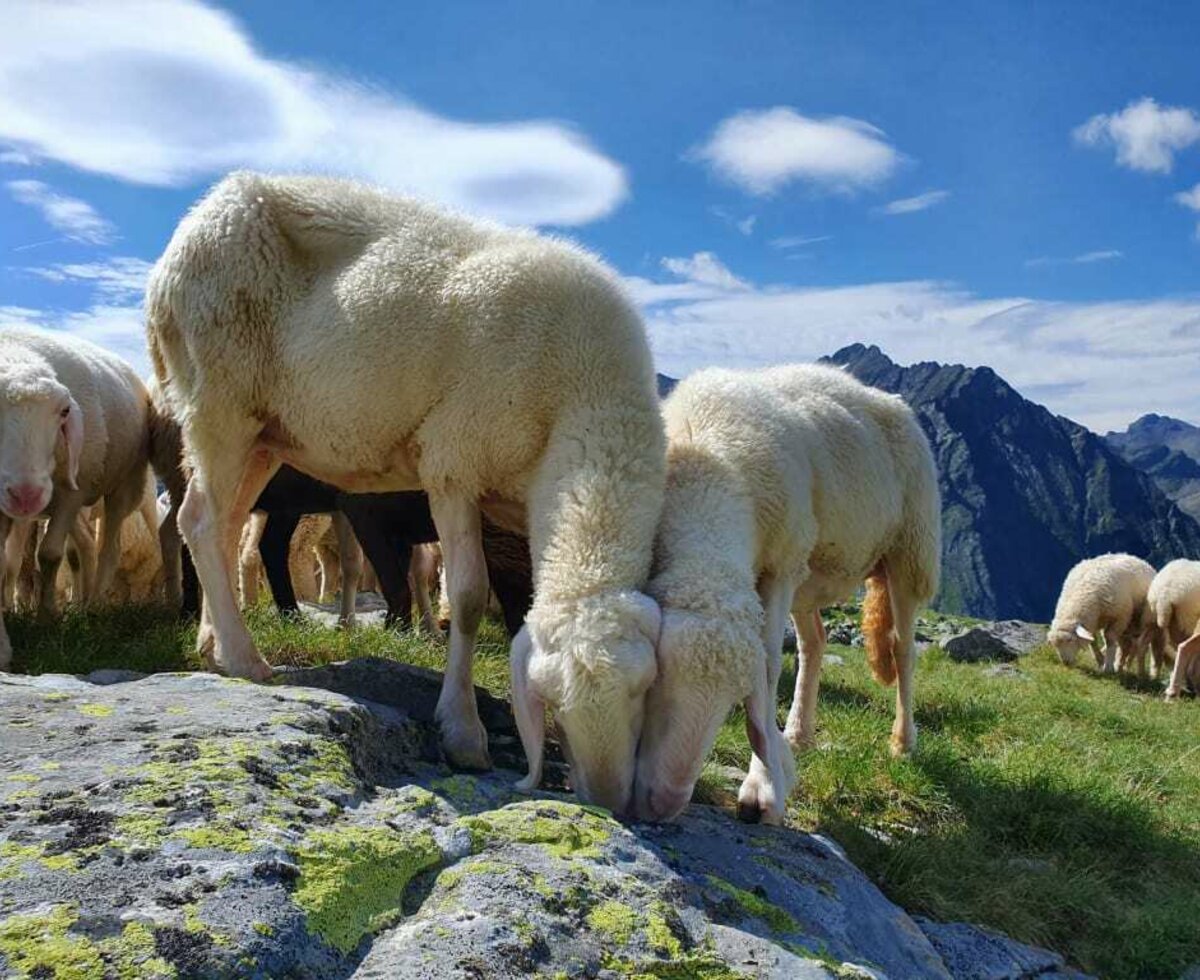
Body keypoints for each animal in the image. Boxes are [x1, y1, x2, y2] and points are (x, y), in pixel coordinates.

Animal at [0, 328, 154, 666]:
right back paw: (80, 604)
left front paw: (46, 619)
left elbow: (49, 554)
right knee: (83, 545)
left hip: (122, 484)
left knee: (109, 549)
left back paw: (93, 608)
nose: (26, 495)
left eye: (64, 411)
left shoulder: (73, 492)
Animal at [147, 170, 667, 810]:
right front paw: (462, 732)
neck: (584, 400)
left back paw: (212, 644)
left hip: (263, 433)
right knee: (197, 521)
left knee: (220, 526)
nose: (609, 798)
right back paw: (247, 660)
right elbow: (468, 597)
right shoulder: (454, 460)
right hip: (218, 399)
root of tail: (197, 219)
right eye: (553, 701)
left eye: (643, 692)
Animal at [633, 367, 940, 825]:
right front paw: (779, 757)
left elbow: (768, 667)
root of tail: (893, 401)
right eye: (653, 686)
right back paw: (798, 732)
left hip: (909, 550)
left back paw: (902, 741)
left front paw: (764, 787)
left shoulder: (777, 570)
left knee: (904, 649)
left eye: (731, 704)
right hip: (808, 574)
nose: (664, 804)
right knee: (814, 642)